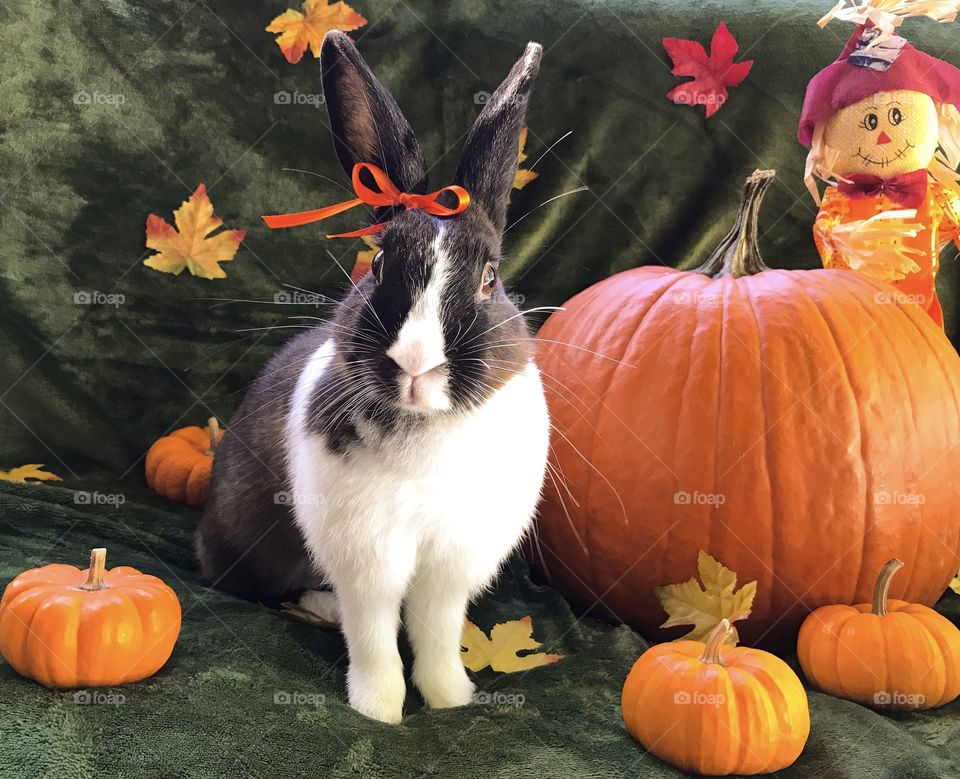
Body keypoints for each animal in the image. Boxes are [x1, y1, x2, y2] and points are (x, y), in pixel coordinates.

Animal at [195, 30, 549, 724]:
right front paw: (379, 711)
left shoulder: (450, 566)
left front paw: (450, 700)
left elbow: (437, 633)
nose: (416, 361)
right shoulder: (368, 560)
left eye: (490, 276)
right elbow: (374, 633)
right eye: (380, 263)